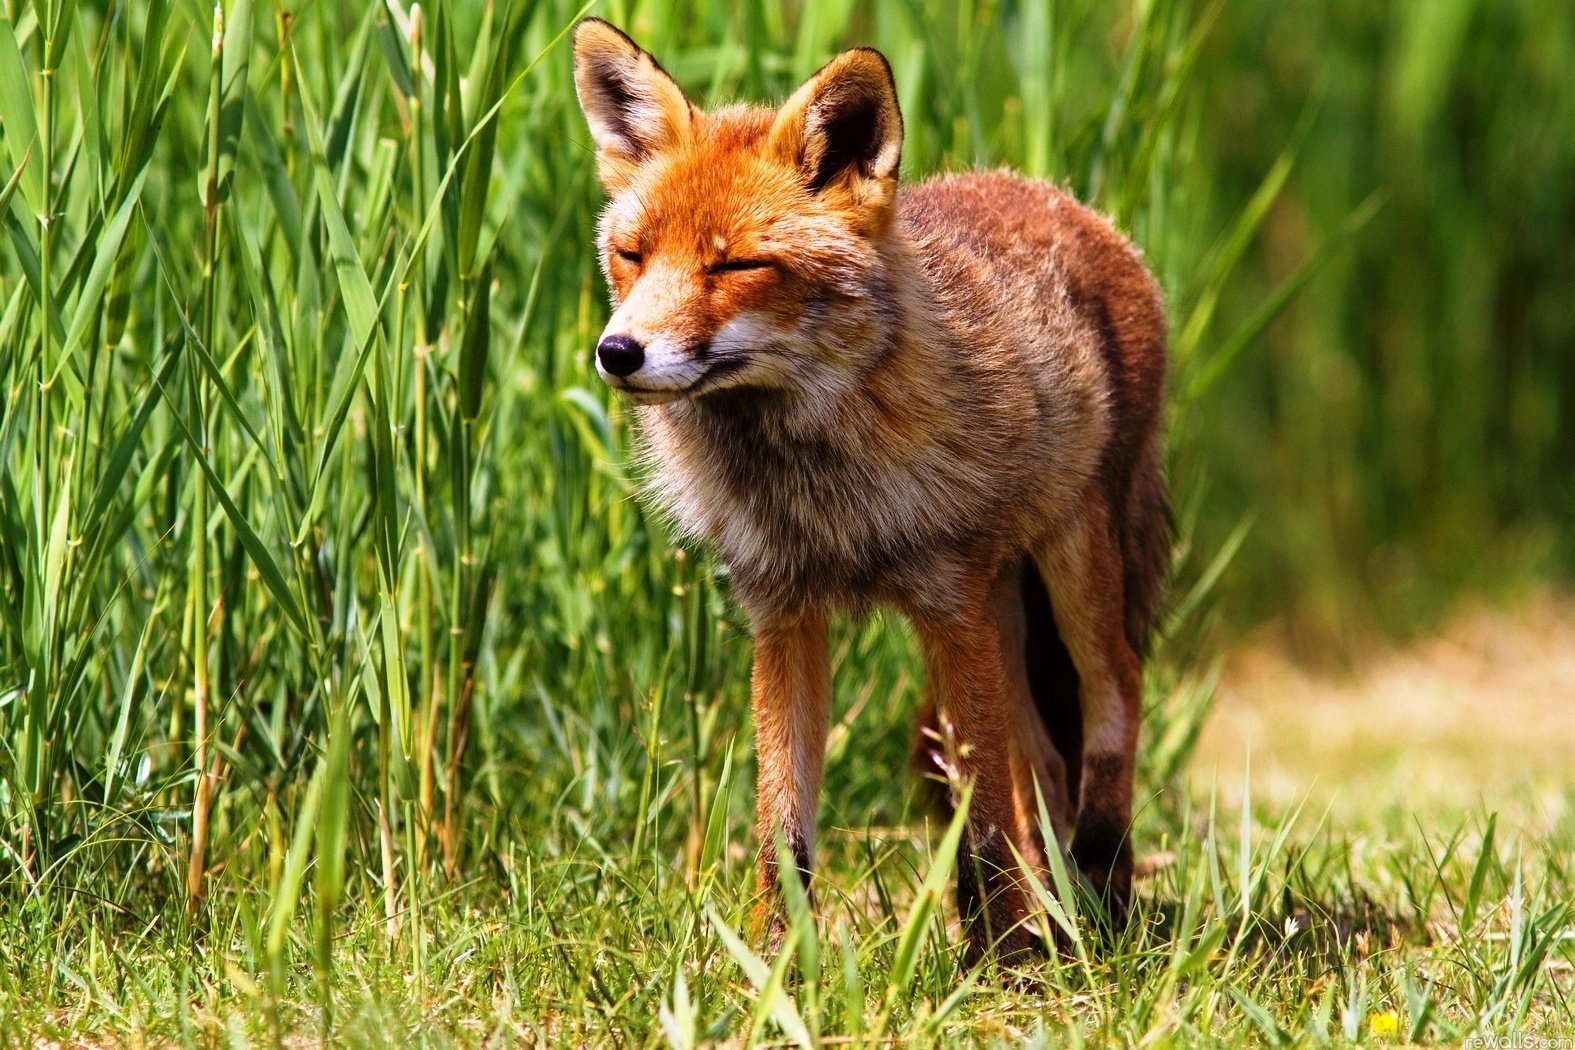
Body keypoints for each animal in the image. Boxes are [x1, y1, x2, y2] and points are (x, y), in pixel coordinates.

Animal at [572, 18, 1170, 963]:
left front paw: (1003, 969)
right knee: (1040, 760)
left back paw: (1098, 897)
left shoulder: (947, 605)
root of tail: (1057, 196)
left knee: (1114, 700)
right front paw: (775, 964)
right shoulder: (783, 614)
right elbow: (783, 826)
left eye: (734, 265)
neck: (819, 493)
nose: (617, 352)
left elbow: (983, 821)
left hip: (1073, 564)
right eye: (631, 255)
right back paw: (1057, 911)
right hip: (1004, 603)